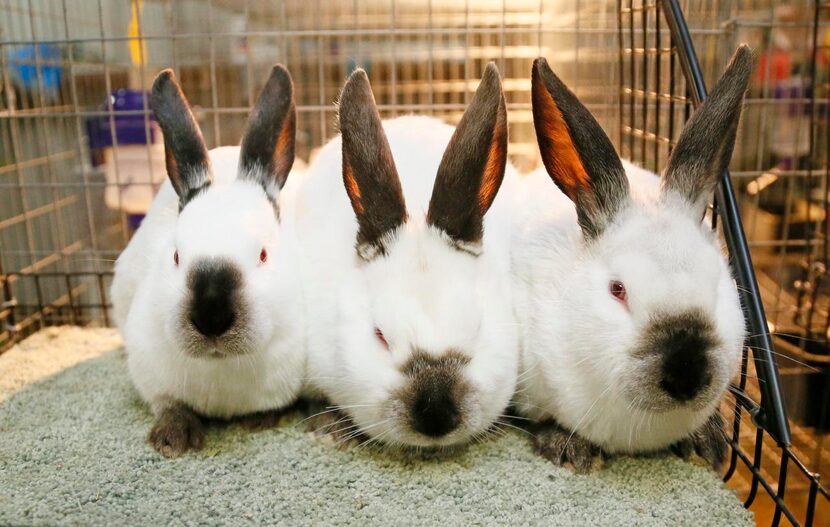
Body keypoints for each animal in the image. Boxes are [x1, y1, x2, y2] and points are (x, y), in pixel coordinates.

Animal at [109, 65, 306, 458]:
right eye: (175, 256)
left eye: (263, 254)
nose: (211, 317)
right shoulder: (150, 374)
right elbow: (168, 404)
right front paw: (172, 438)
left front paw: (259, 420)